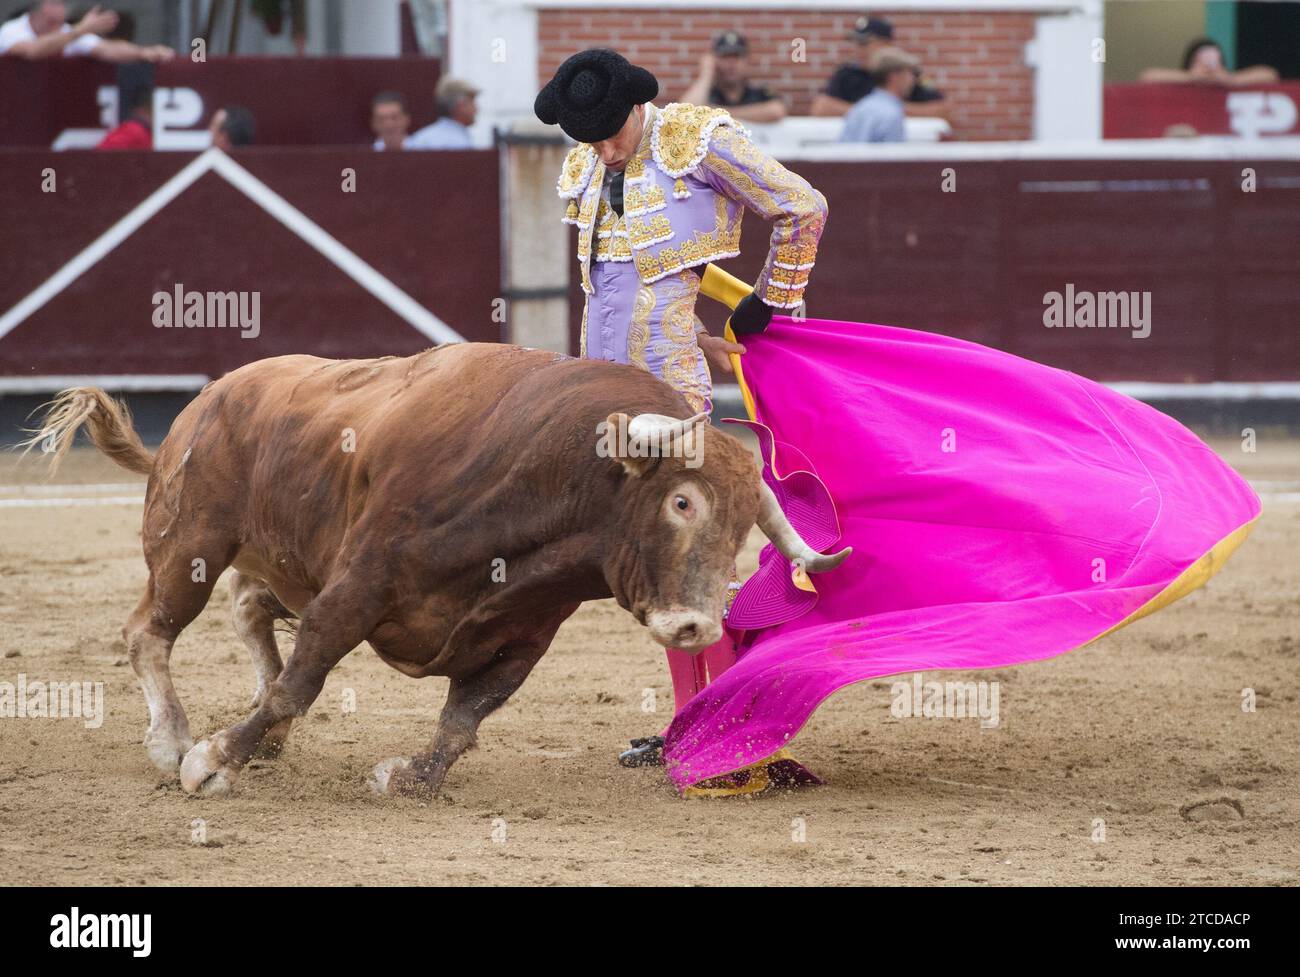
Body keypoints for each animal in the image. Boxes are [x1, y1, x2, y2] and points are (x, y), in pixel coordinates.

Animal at [27, 348, 852, 795]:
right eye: (682, 500)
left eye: (745, 528)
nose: (696, 626)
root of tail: (209, 397)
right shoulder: (354, 590)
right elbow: (303, 680)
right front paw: (210, 760)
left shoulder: (522, 639)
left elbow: (462, 722)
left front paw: (408, 779)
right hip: (191, 539)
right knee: (152, 630)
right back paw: (173, 740)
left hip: (275, 556)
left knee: (249, 610)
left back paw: (259, 738)